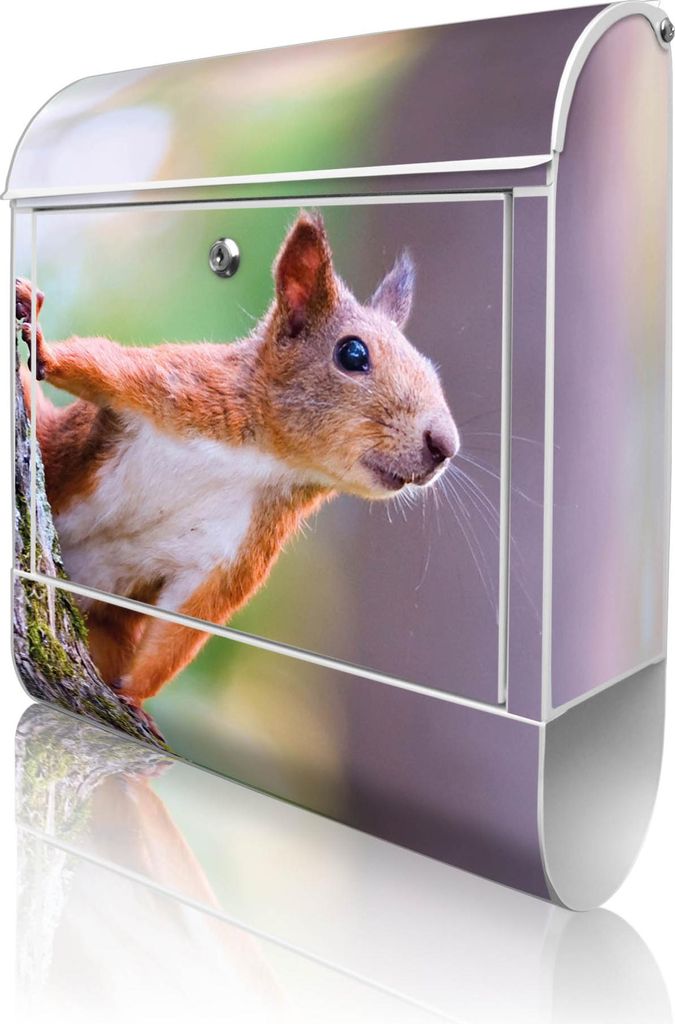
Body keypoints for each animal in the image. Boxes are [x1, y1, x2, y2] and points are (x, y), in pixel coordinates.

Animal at [16, 212, 459, 706]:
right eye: (353, 353)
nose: (444, 446)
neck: (261, 458)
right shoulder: (175, 387)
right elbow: (96, 365)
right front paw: (43, 346)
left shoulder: (237, 549)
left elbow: (185, 624)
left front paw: (133, 700)